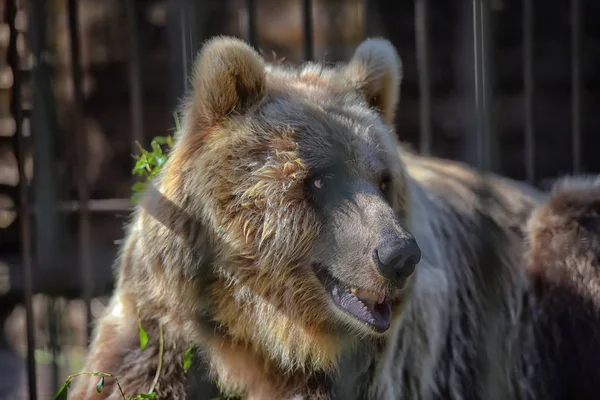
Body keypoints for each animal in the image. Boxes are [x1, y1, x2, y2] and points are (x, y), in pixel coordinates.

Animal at [68, 35, 548, 400]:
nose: (399, 256)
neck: (260, 327)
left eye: (383, 179)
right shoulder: (159, 322)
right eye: (320, 180)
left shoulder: (364, 364)